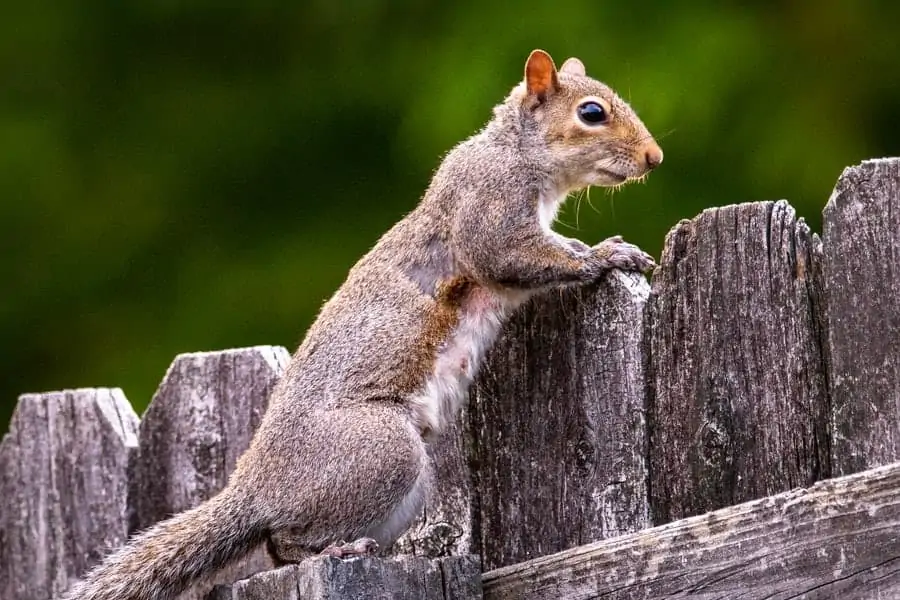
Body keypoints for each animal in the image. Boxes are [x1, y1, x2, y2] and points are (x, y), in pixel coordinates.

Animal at [59, 49, 656, 600]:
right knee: (288, 540)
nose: (655, 157)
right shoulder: (489, 209)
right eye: (592, 112)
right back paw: (337, 550)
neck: (515, 152)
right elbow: (512, 256)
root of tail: (256, 489)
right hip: (383, 449)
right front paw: (604, 255)